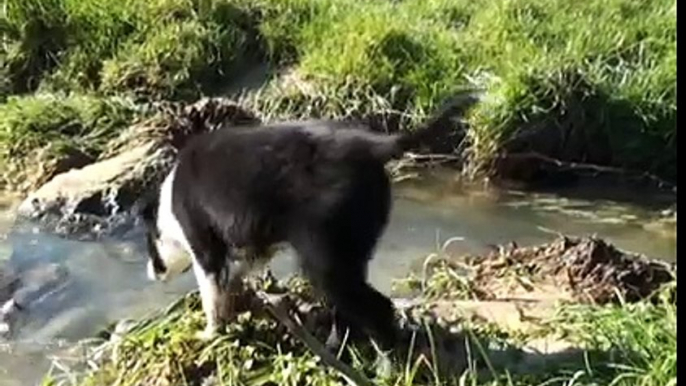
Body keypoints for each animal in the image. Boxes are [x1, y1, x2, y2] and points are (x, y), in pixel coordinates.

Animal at [138, 92, 484, 352]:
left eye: (150, 247)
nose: (150, 272)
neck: (168, 208)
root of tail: (373, 146)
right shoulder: (256, 244)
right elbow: (238, 272)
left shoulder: (204, 246)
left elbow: (211, 294)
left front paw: (210, 333)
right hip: (350, 244)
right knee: (356, 304)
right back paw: (342, 345)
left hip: (323, 255)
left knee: (375, 306)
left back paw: (385, 359)